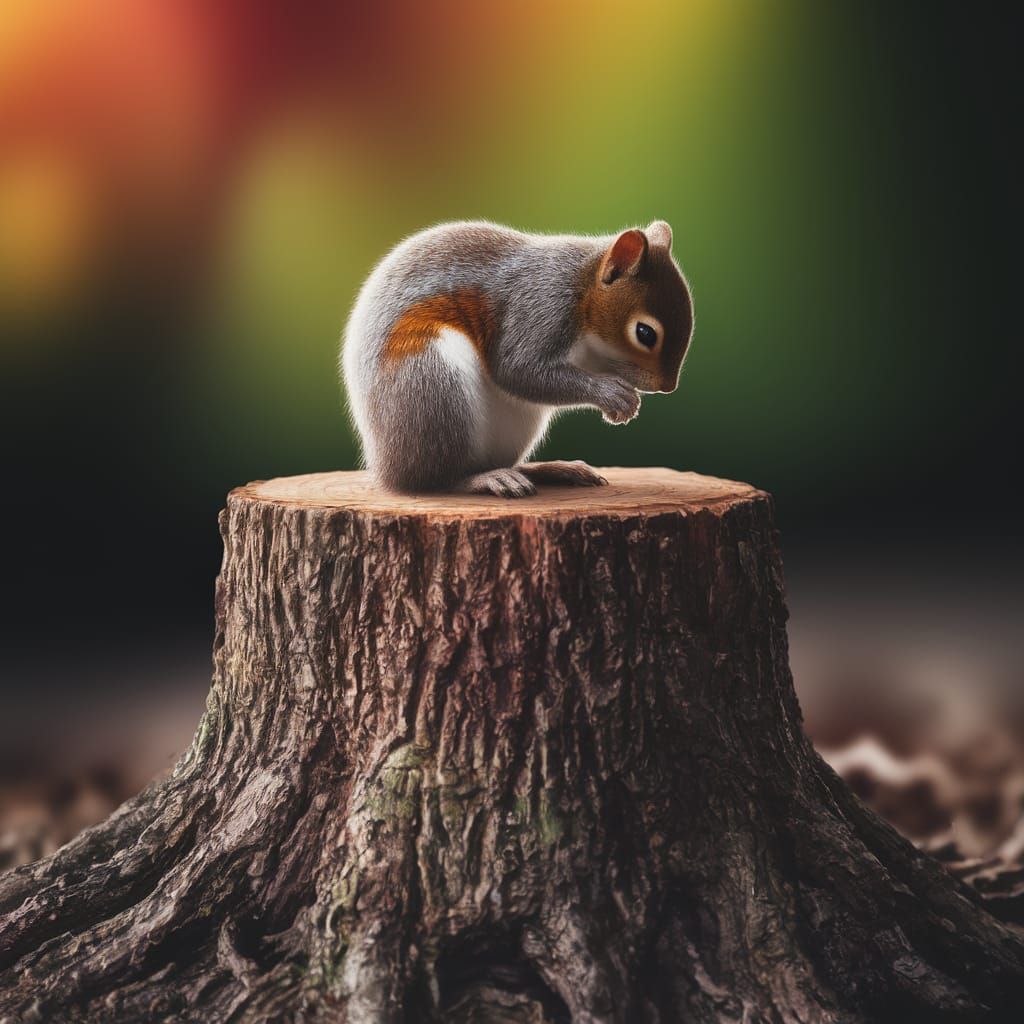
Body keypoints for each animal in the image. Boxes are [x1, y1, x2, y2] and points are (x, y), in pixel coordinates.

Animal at [342, 220, 693, 497]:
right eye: (645, 333)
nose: (668, 386)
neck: (583, 287)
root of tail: (383, 467)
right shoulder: (541, 305)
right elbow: (518, 369)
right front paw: (613, 395)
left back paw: (548, 469)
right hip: (432, 385)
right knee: (436, 479)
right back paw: (482, 479)